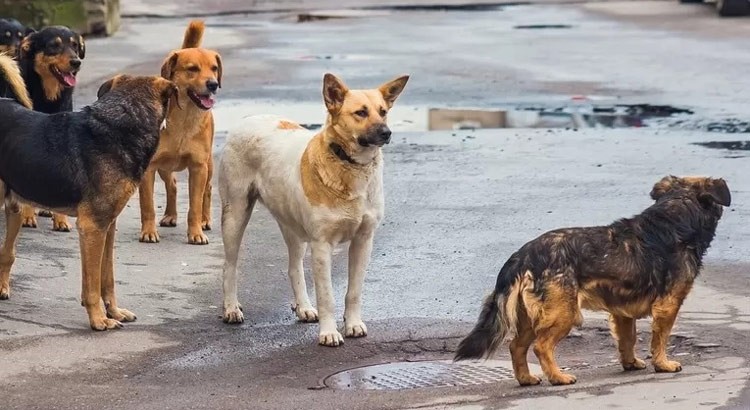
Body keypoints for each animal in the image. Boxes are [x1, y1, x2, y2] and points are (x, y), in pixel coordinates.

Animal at [0, 54, 178, 330]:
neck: (122, 123)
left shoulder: (108, 226)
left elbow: (108, 278)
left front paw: (114, 312)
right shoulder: (92, 227)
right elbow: (92, 283)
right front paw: (98, 319)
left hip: (15, 207)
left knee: (6, 253)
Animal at [16, 24, 86, 231]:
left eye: (75, 46)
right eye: (54, 46)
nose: (76, 62)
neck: (48, 97)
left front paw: (60, 220)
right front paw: (27, 216)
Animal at [220, 72, 412, 344]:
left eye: (383, 111)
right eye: (361, 113)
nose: (387, 133)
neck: (349, 165)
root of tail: (249, 118)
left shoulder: (363, 241)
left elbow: (354, 291)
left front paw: (353, 324)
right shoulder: (322, 245)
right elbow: (327, 296)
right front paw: (329, 333)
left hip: (292, 226)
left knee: (294, 268)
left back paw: (303, 307)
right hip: (235, 215)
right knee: (230, 266)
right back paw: (231, 308)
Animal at [456, 175, 732, 384]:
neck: (676, 215)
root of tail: (522, 255)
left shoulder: (622, 312)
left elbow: (628, 339)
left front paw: (630, 363)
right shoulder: (668, 305)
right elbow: (660, 338)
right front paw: (663, 363)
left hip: (529, 317)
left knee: (516, 346)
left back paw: (526, 379)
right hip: (564, 313)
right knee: (541, 346)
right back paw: (558, 377)